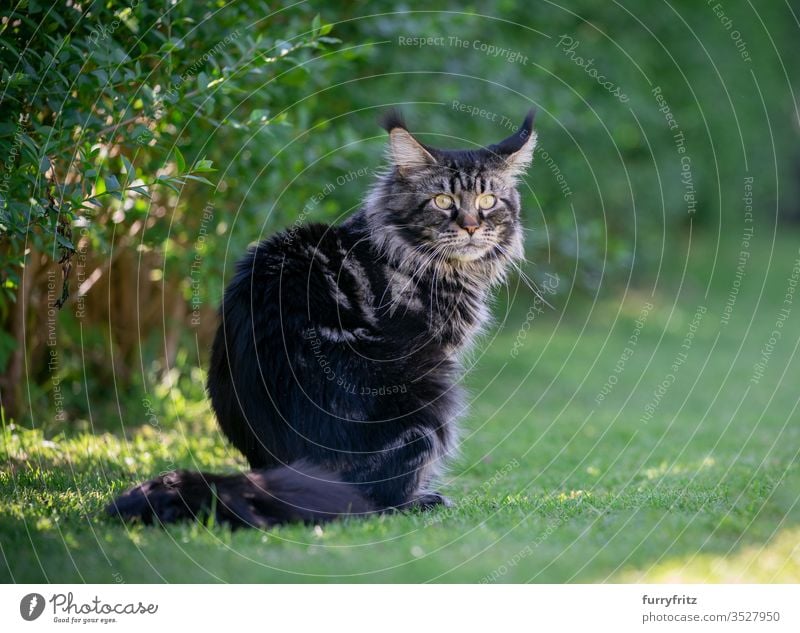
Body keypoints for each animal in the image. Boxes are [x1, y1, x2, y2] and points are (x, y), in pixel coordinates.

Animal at [108, 108, 536, 528]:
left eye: (487, 200)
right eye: (443, 200)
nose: (471, 227)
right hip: (433, 394)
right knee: (374, 503)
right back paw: (423, 500)